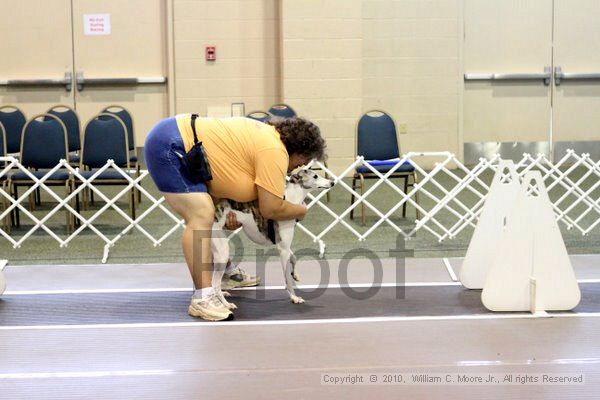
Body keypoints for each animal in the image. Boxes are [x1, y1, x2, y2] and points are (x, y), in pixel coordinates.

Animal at [211, 170, 332, 310]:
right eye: (315, 176)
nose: (332, 182)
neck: (290, 201)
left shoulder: (284, 245)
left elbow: (294, 257)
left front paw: (295, 274)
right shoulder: (283, 249)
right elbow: (287, 278)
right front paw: (294, 297)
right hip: (222, 252)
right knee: (215, 283)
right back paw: (226, 304)